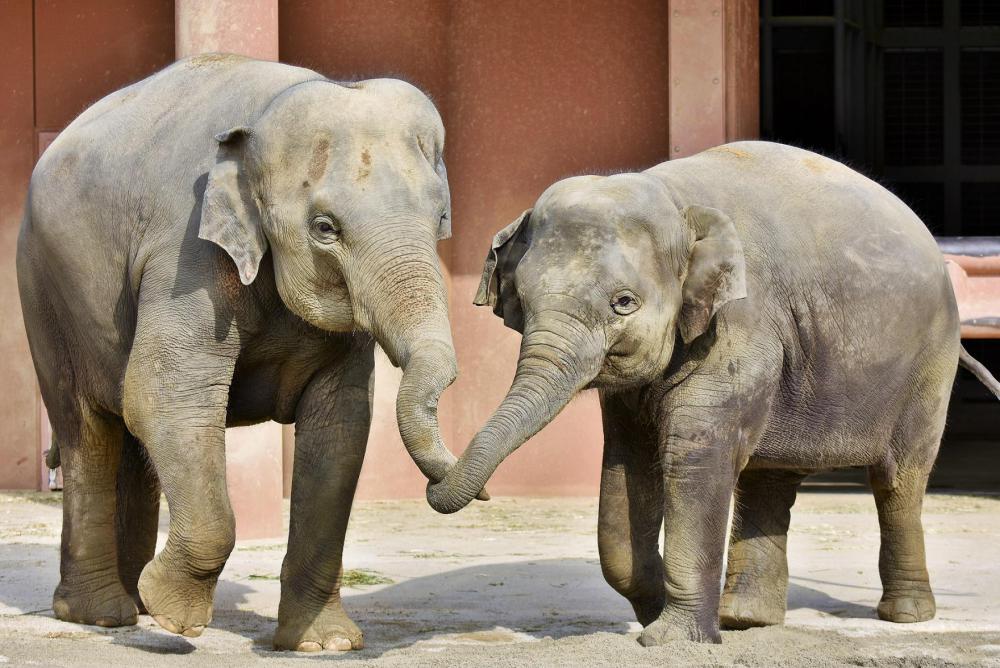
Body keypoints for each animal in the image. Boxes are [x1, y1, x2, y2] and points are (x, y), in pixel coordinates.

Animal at [13, 54, 470, 648]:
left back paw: (134, 603)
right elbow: (165, 397)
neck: (264, 115)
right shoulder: (186, 250)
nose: (451, 485)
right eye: (325, 228)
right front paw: (176, 617)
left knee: (131, 443)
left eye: (440, 220)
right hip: (44, 292)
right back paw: (102, 615)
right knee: (88, 429)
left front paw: (325, 643)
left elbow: (341, 424)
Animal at [428, 142, 1000, 648]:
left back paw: (905, 616)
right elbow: (628, 463)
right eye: (520, 301)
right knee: (771, 479)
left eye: (623, 302)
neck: (676, 198)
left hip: (929, 363)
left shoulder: (742, 324)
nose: (480, 491)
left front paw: (671, 640)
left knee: (898, 480)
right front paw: (661, 615)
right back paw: (745, 620)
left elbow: (693, 455)